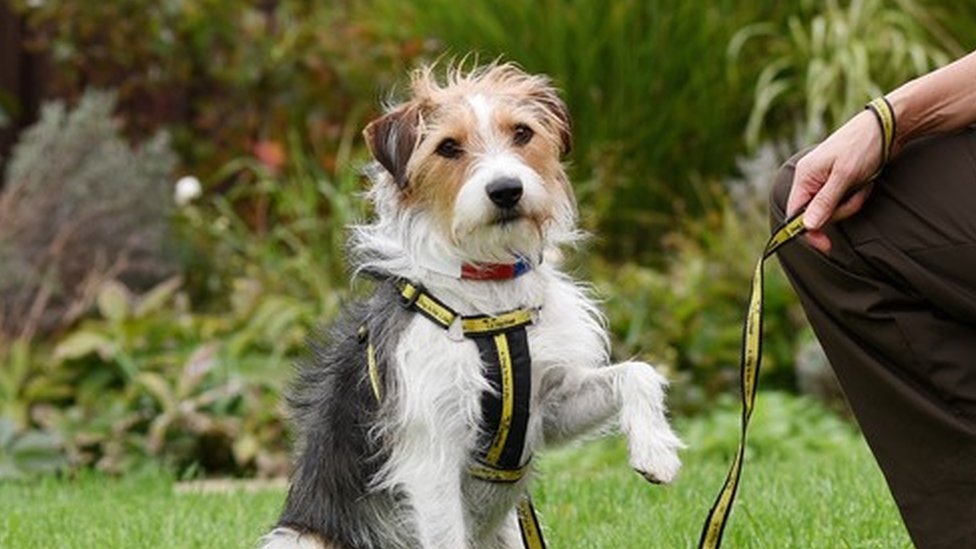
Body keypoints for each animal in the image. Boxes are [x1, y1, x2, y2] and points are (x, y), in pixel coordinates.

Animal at [264, 62, 684, 548]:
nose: (506, 190)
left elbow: (638, 372)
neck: (492, 298)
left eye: (522, 133)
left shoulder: (548, 406)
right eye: (448, 147)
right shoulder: (430, 455)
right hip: (300, 538)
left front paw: (657, 449)